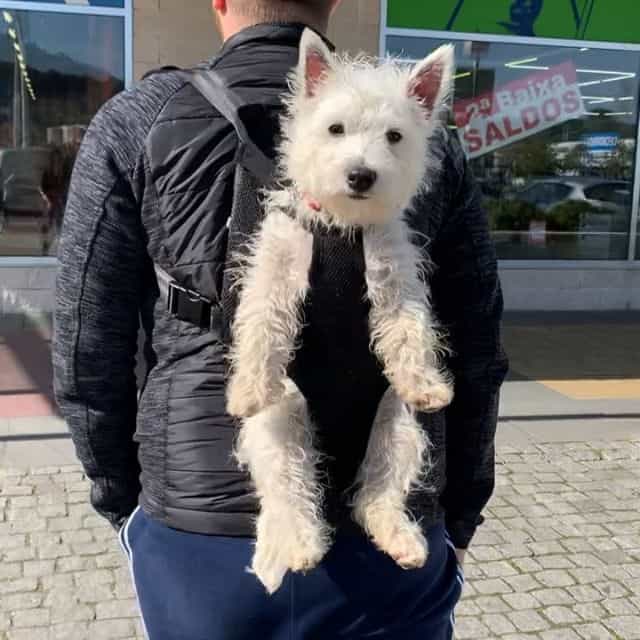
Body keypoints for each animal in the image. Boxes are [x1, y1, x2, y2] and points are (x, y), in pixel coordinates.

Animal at [225, 27, 456, 592]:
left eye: (394, 136)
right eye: (335, 129)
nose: (361, 174)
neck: (342, 227)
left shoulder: (395, 280)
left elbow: (408, 330)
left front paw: (427, 382)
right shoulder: (276, 271)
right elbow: (261, 326)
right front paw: (247, 389)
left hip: (397, 426)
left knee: (375, 494)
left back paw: (400, 538)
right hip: (284, 421)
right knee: (292, 492)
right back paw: (303, 544)